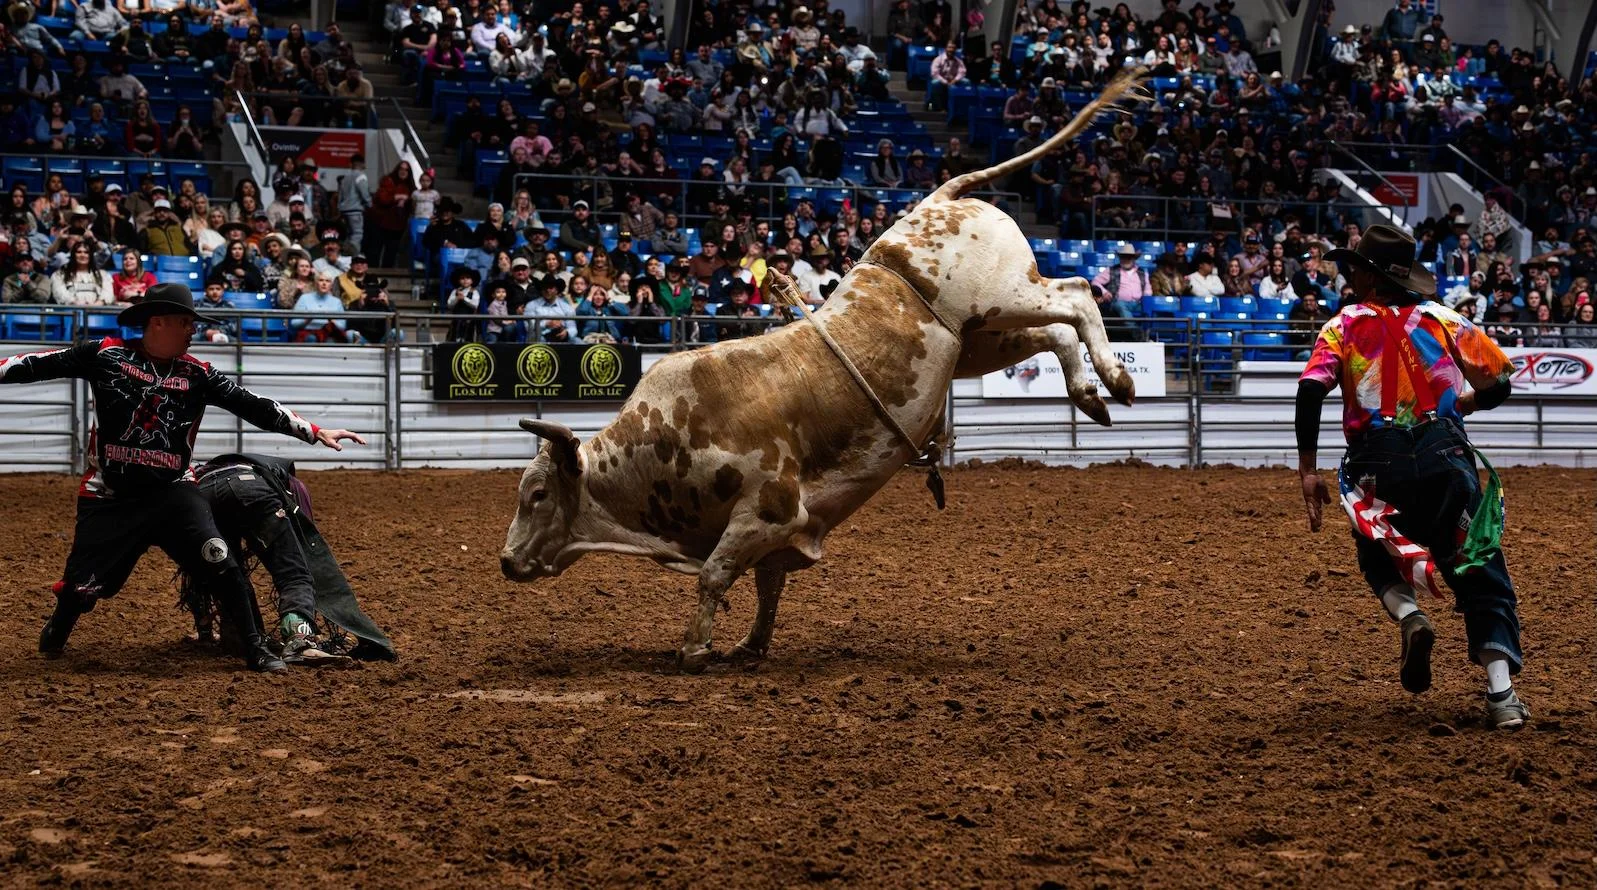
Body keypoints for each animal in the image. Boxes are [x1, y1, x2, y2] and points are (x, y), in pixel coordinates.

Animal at [501, 73, 1146, 672]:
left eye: (537, 494)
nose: (506, 561)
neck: (670, 433)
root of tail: (938, 200)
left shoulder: (769, 510)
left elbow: (715, 575)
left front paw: (695, 649)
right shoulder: (779, 535)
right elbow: (767, 587)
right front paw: (749, 646)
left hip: (1004, 298)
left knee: (1078, 293)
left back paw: (1117, 379)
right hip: (982, 340)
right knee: (1058, 332)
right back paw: (1090, 396)